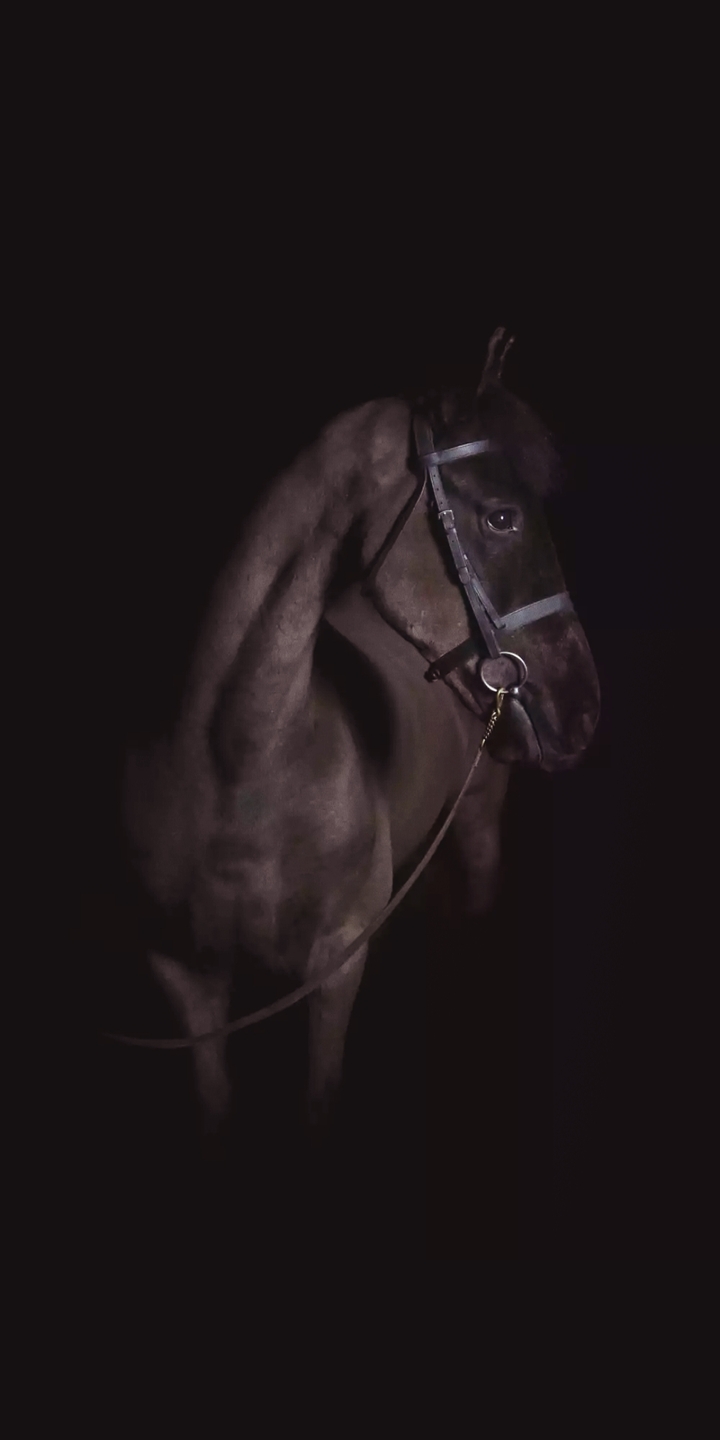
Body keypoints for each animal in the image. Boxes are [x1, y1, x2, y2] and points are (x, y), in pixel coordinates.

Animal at [116, 329, 600, 1144]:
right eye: (501, 517)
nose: (583, 706)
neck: (237, 767)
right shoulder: (184, 978)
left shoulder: (335, 968)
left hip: (478, 825)